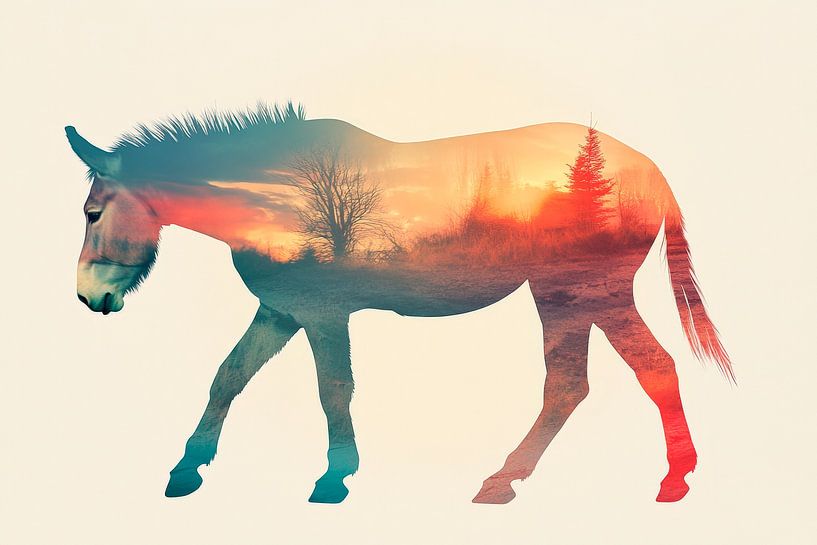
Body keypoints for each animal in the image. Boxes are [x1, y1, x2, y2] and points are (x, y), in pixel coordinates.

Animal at [65, 102, 731, 505]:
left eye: (93, 212)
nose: (90, 297)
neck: (277, 193)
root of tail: (649, 171)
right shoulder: (280, 311)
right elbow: (228, 377)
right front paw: (187, 470)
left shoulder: (323, 313)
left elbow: (333, 387)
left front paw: (335, 477)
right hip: (571, 296)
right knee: (609, 378)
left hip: (578, 293)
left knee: (613, 375)